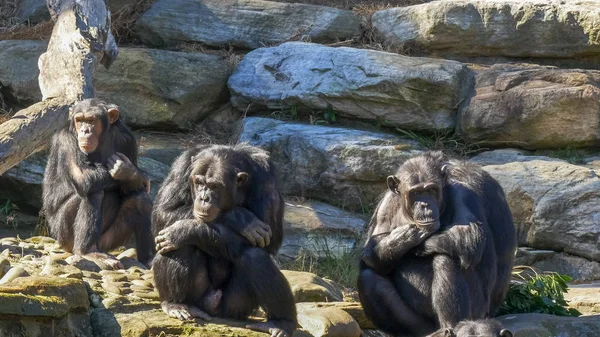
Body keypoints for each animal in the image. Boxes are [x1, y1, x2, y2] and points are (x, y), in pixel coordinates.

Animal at [41, 97, 155, 268]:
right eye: (79, 120)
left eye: (91, 120)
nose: (85, 130)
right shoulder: (66, 141)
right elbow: (84, 178)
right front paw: (135, 174)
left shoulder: (127, 139)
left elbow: (130, 188)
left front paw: (131, 172)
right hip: (63, 235)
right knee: (94, 192)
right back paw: (87, 251)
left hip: (107, 241)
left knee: (140, 200)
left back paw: (149, 260)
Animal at [152, 143, 298, 336]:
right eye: (199, 183)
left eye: (214, 186)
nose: (204, 198)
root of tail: (212, 308)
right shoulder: (181, 167)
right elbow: (164, 212)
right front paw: (240, 218)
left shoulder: (267, 179)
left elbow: (271, 238)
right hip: (200, 297)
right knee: (178, 246)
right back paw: (176, 304)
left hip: (235, 307)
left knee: (255, 257)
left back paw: (282, 322)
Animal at [356, 150, 516, 336]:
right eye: (416, 193)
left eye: (431, 190)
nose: (425, 205)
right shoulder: (387, 204)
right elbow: (371, 252)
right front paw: (398, 241)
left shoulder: (464, 194)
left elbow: (467, 235)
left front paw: (411, 240)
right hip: (420, 325)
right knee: (368, 278)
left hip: (478, 310)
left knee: (446, 259)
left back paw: (451, 326)